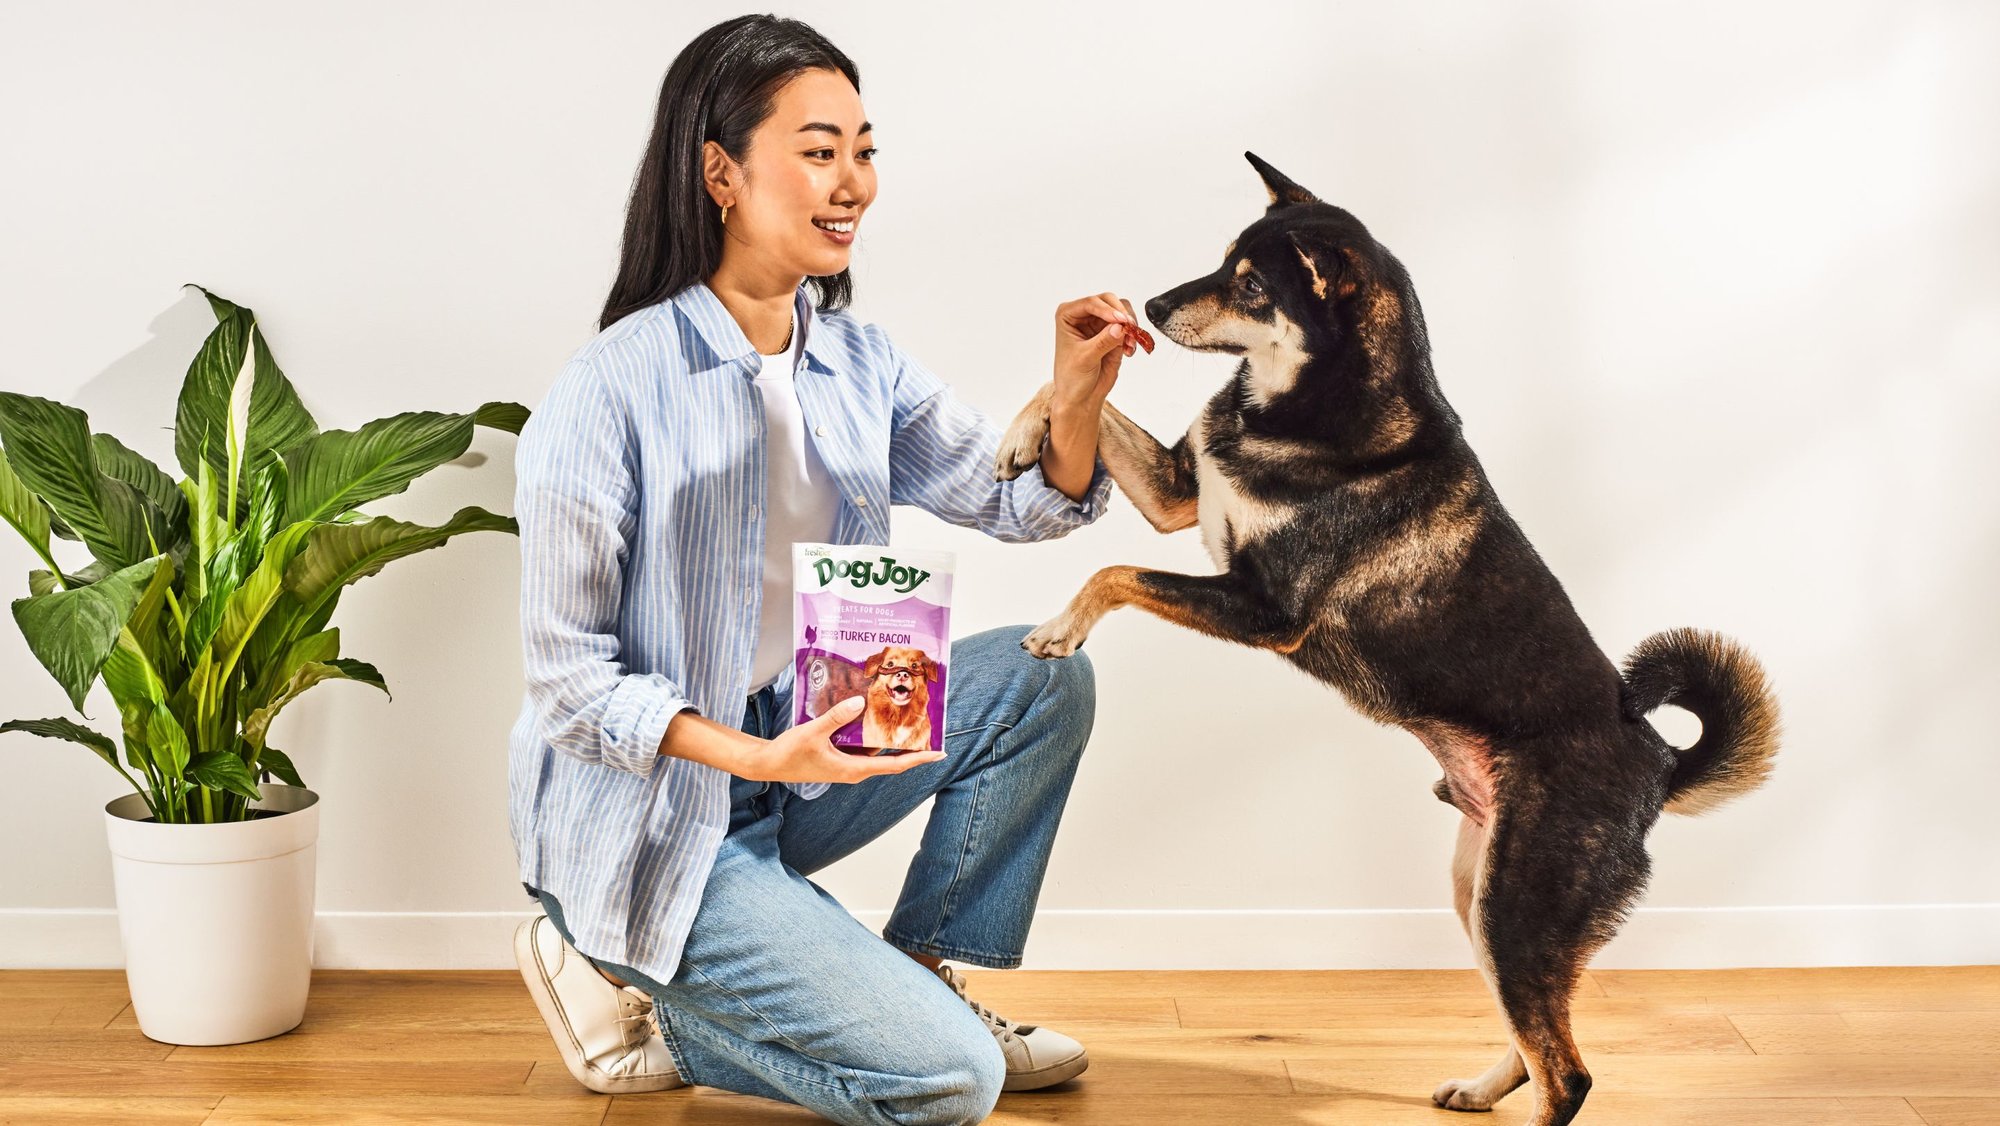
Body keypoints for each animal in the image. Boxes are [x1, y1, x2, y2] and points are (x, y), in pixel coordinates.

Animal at [996, 152, 1784, 1126]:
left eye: (1251, 286)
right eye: (1221, 262)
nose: (1150, 303)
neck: (1304, 408)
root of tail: (1660, 762)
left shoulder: (1265, 611)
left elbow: (1114, 573)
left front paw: (1057, 630)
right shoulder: (1181, 493)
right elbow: (1082, 403)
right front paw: (1022, 436)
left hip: (1519, 905)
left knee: (1569, 1072)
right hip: (1482, 899)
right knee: (1537, 1038)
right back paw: (1481, 1086)